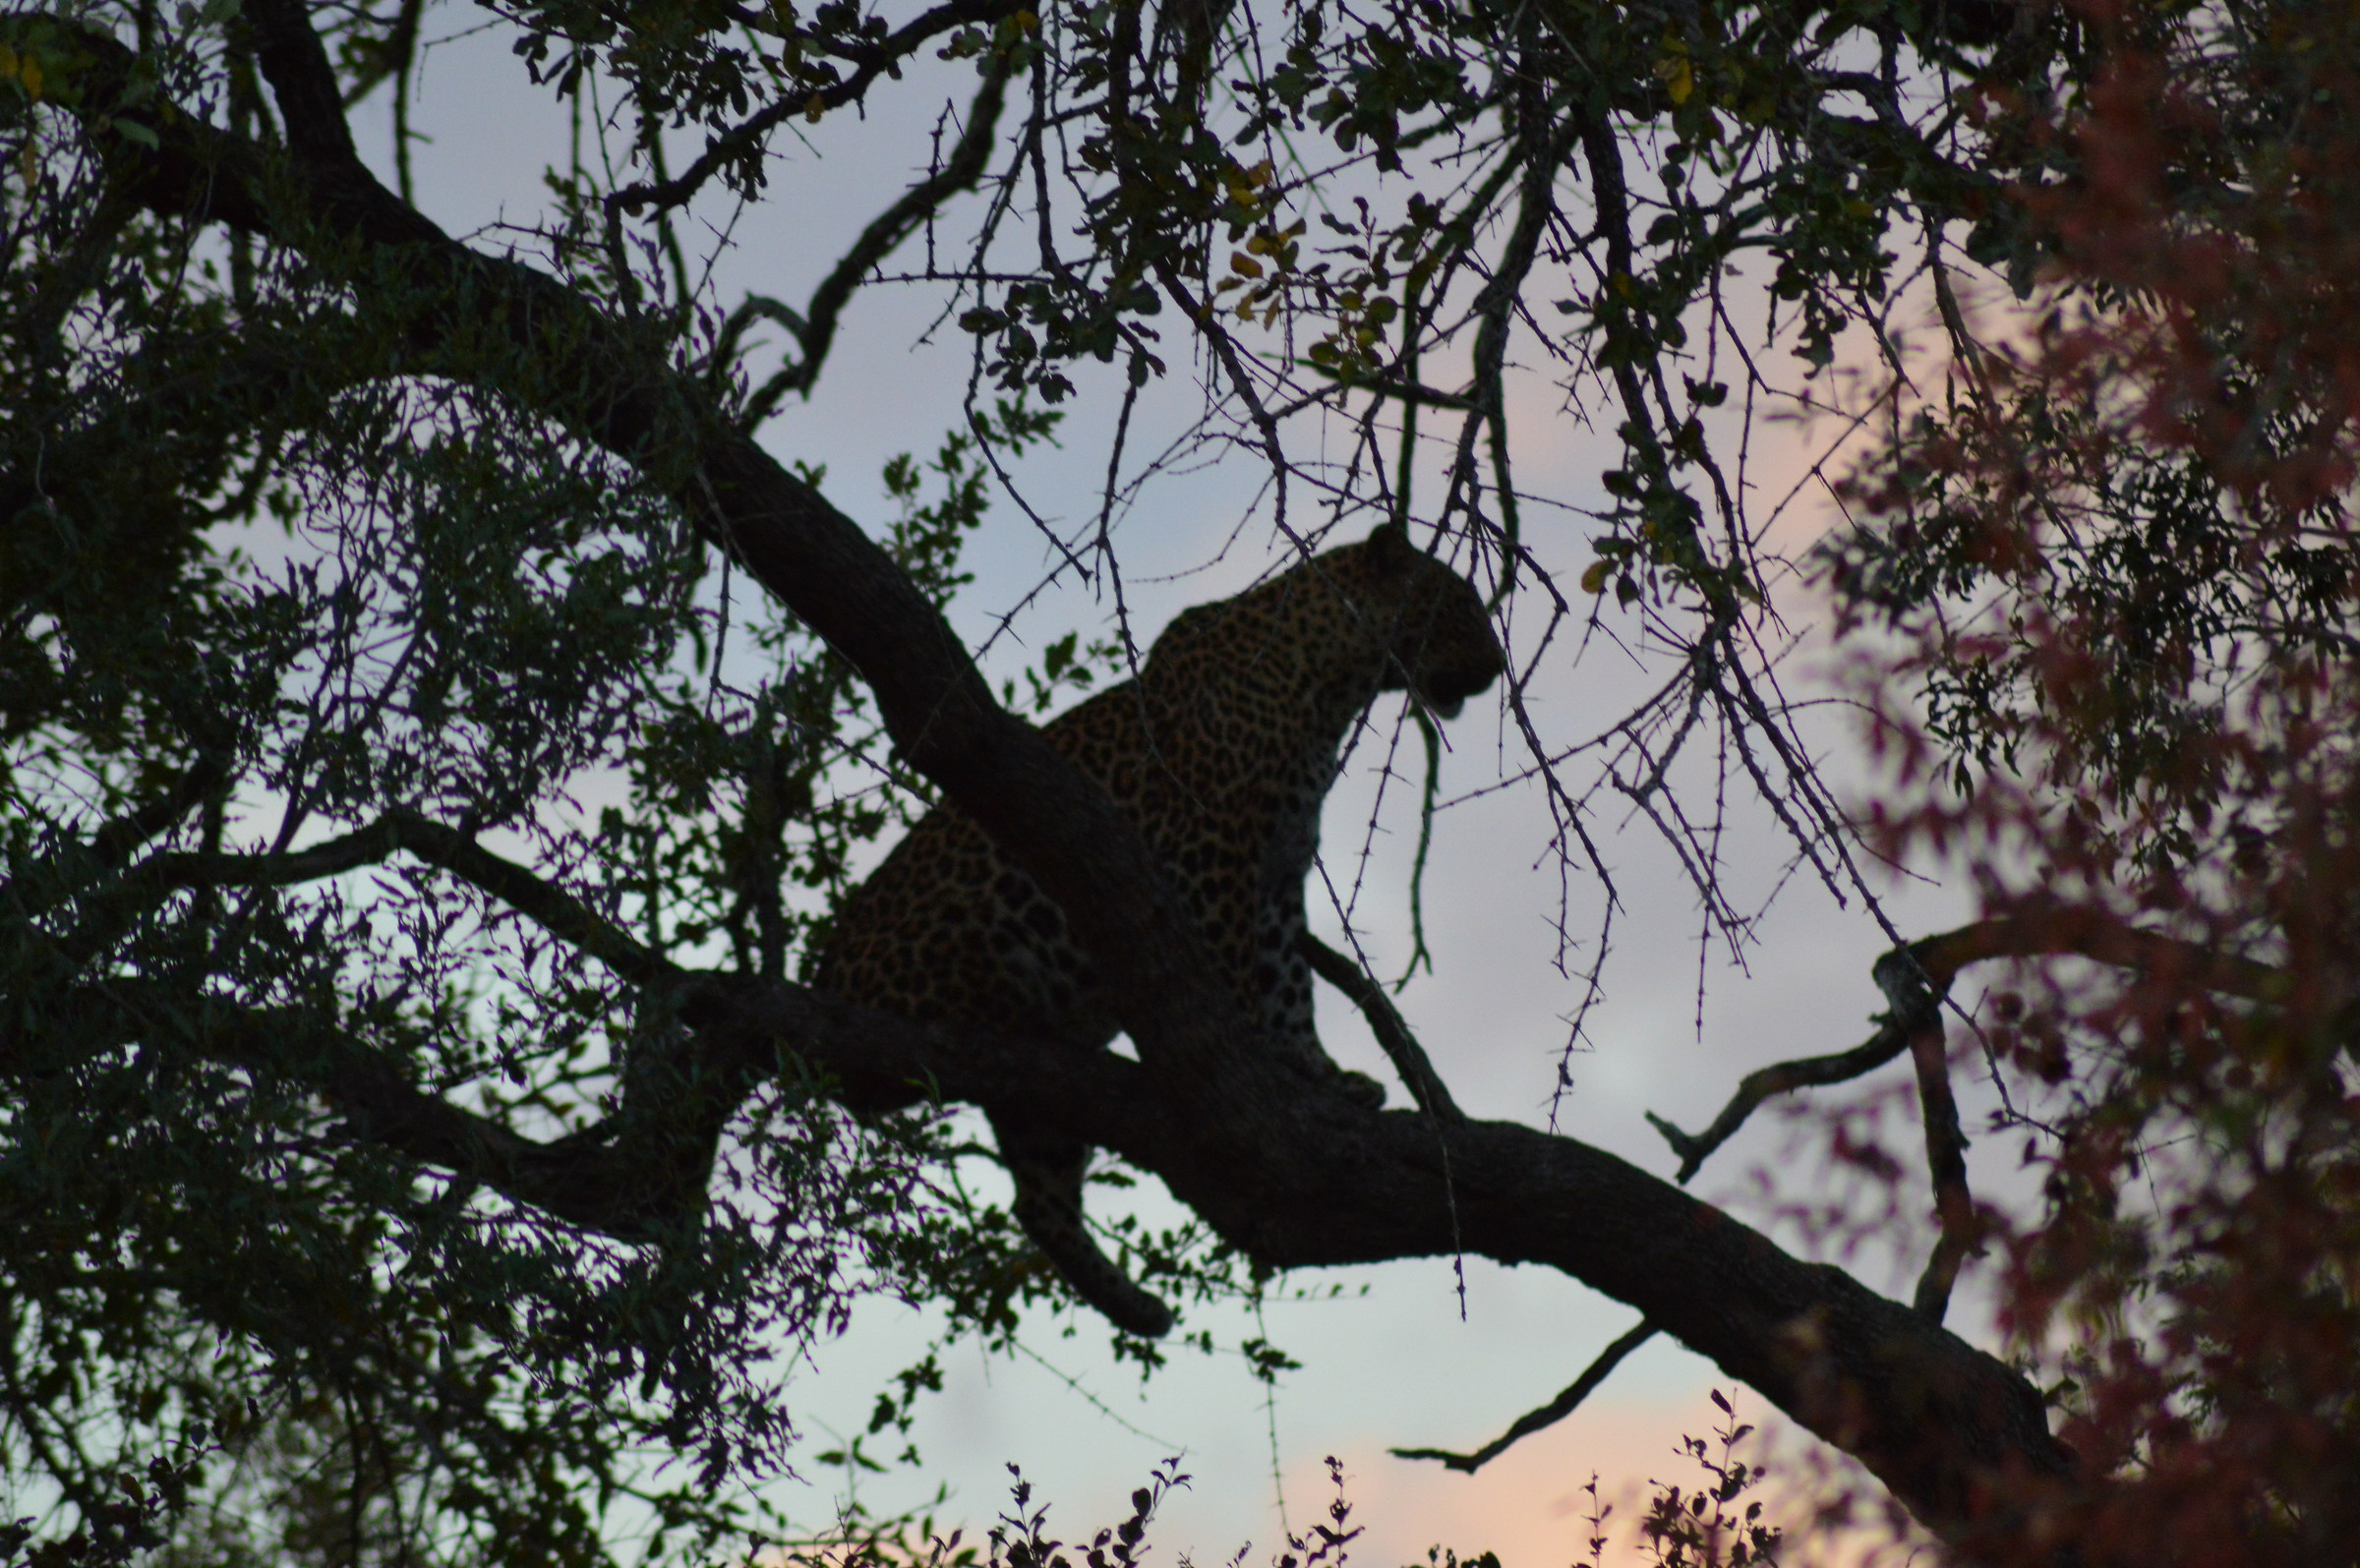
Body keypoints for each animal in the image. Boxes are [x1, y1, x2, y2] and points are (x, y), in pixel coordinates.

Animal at [812, 522, 1504, 1336]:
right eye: (1460, 604)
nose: (1499, 667)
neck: (1331, 689)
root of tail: (824, 975)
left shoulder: (1279, 883)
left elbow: (1289, 985)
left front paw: (1323, 1074)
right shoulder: (1218, 853)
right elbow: (1241, 977)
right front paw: (1265, 1065)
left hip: (1041, 1110)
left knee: (1038, 1199)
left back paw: (1137, 1305)